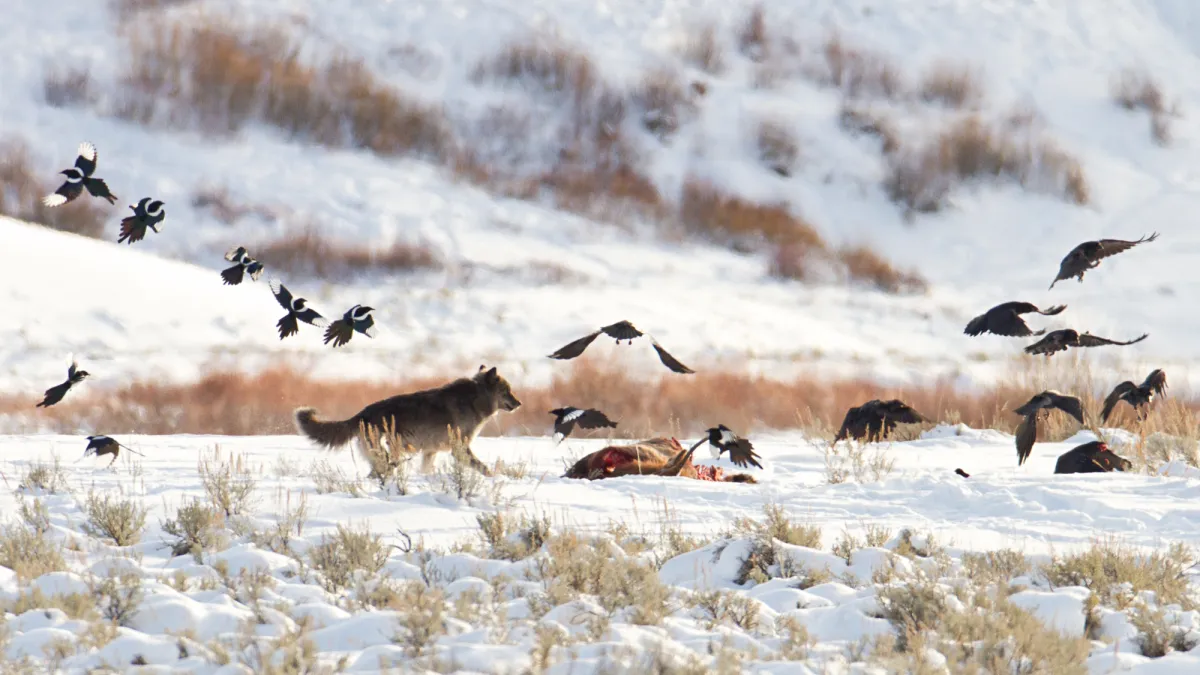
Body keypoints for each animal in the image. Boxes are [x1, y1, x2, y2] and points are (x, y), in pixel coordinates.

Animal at [293, 365, 521, 476]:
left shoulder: (430, 452)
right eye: (507, 391)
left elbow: (427, 470)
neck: (475, 400)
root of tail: (361, 414)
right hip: (388, 456)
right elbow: (485, 469)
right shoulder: (459, 449)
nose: (520, 403)